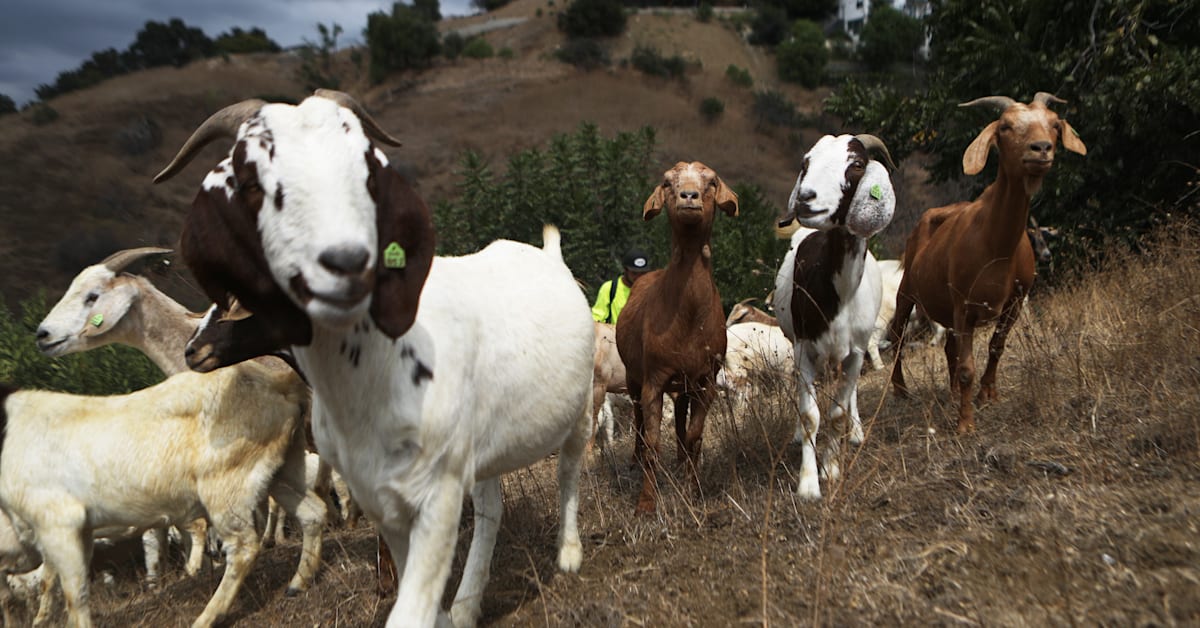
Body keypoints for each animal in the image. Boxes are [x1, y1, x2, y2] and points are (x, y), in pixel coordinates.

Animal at [0, 363, 324, 628]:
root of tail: (277, 381)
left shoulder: (57, 522)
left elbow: (73, 594)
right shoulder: (75, 531)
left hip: (227, 486)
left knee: (243, 547)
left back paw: (206, 617)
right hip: (282, 470)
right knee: (314, 512)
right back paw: (298, 582)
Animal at [154, 90, 594, 627]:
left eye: (365, 167)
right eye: (251, 179)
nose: (345, 261)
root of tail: (548, 254)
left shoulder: (438, 493)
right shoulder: (384, 497)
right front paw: (448, 612)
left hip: (581, 402)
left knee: (569, 466)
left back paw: (569, 554)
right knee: (492, 504)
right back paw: (468, 603)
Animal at [616, 161, 738, 514]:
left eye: (711, 182)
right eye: (667, 182)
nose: (689, 196)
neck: (688, 317)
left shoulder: (707, 379)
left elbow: (695, 435)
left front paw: (692, 490)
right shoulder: (654, 379)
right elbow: (654, 441)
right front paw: (646, 503)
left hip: (685, 382)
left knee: (682, 419)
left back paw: (682, 460)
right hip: (633, 377)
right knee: (639, 421)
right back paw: (635, 460)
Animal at [771, 134, 896, 500]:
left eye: (856, 164)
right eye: (806, 163)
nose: (805, 198)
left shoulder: (855, 351)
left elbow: (838, 412)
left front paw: (831, 467)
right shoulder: (804, 348)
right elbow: (810, 414)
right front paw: (809, 483)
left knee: (849, 395)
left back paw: (855, 432)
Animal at [887, 93, 1086, 433]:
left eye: (1054, 123)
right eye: (1005, 126)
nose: (1041, 148)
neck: (996, 245)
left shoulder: (1015, 301)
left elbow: (996, 347)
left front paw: (987, 394)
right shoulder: (964, 304)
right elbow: (967, 365)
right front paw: (965, 424)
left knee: (948, 347)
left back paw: (953, 392)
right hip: (908, 289)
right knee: (899, 334)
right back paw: (901, 389)